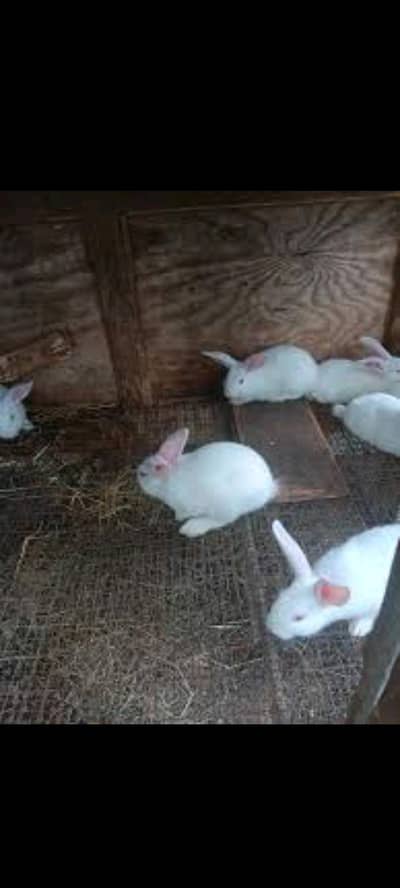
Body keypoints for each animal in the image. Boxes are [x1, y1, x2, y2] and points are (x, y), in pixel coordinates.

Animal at [136, 427, 278, 537]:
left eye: (144, 474)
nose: (137, 473)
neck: (169, 480)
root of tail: (269, 487)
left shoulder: (188, 505)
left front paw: (178, 518)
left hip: (225, 505)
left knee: (223, 520)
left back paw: (191, 528)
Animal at [266, 518, 400, 640]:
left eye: (299, 618)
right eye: (279, 596)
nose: (272, 628)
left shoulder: (376, 604)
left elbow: (368, 616)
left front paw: (358, 628)